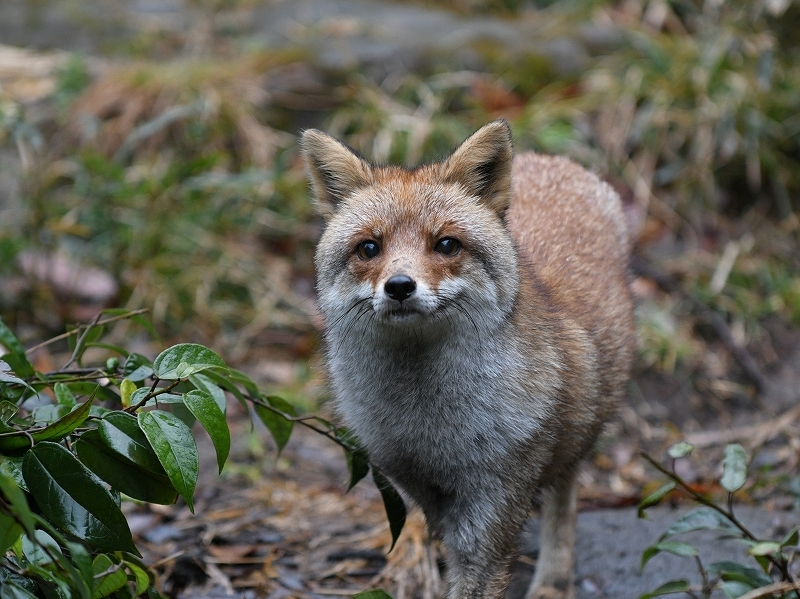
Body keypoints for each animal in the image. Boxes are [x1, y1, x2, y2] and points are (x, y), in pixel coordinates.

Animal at [300, 122, 632, 599]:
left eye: (445, 244)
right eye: (369, 248)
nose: (399, 286)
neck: (429, 426)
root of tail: (553, 160)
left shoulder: (495, 499)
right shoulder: (424, 489)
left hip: (576, 440)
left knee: (564, 499)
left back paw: (553, 581)